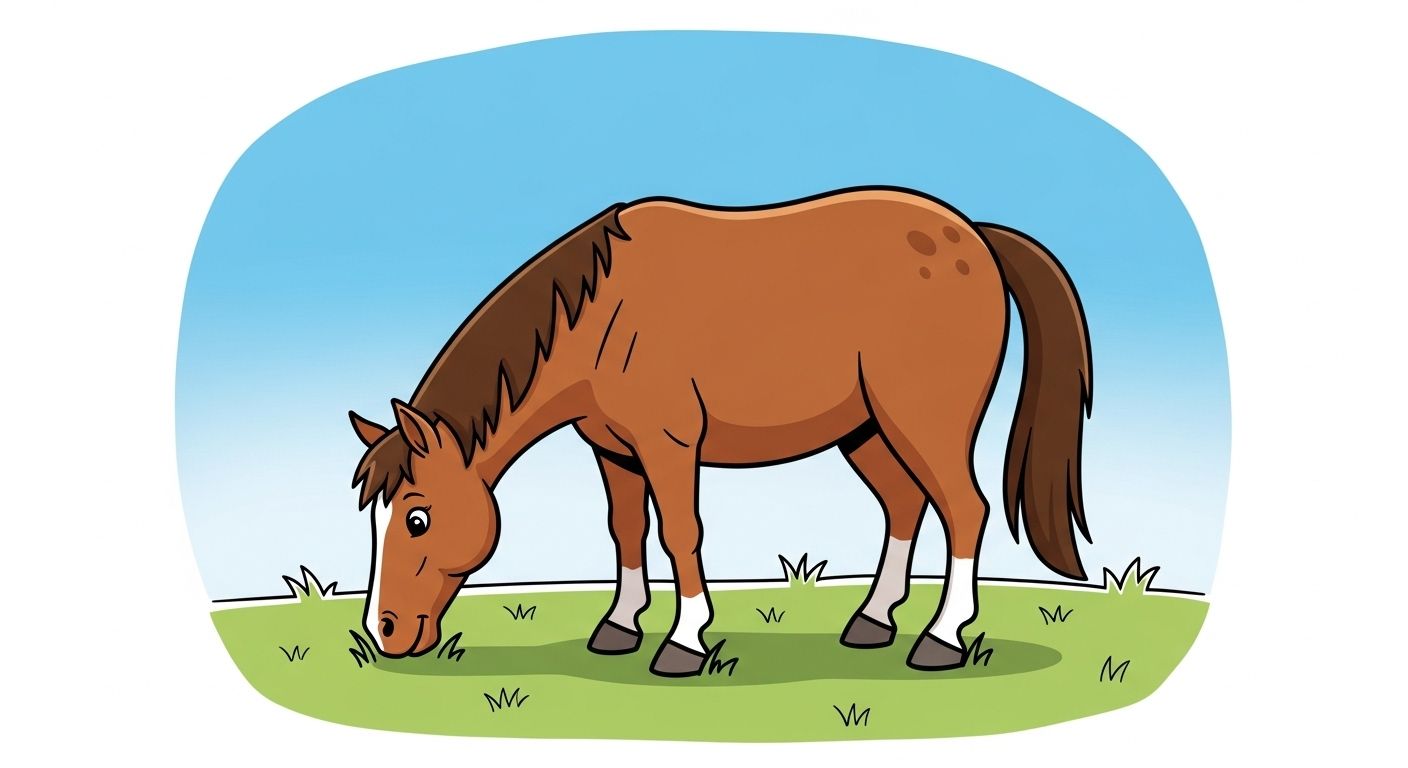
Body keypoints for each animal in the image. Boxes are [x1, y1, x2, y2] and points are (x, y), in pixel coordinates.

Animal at [348, 186, 1093, 676]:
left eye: (416, 518)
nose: (383, 632)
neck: (600, 313)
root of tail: (976, 235)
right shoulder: (614, 451)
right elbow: (627, 531)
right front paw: (618, 625)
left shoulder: (668, 444)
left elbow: (680, 533)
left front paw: (683, 641)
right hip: (867, 430)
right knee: (905, 506)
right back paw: (872, 621)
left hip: (923, 422)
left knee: (964, 510)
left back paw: (941, 639)